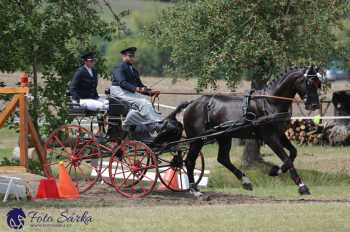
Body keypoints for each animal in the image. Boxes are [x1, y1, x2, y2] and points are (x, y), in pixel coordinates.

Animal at [182, 66, 322, 195]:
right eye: (309, 82)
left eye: (318, 83)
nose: (314, 105)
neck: (271, 102)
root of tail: (192, 103)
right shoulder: (270, 137)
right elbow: (287, 158)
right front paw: (302, 186)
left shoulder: (280, 134)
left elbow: (293, 152)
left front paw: (275, 171)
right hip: (198, 139)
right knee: (189, 161)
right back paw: (194, 189)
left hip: (224, 137)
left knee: (223, 159)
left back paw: (245, 181)